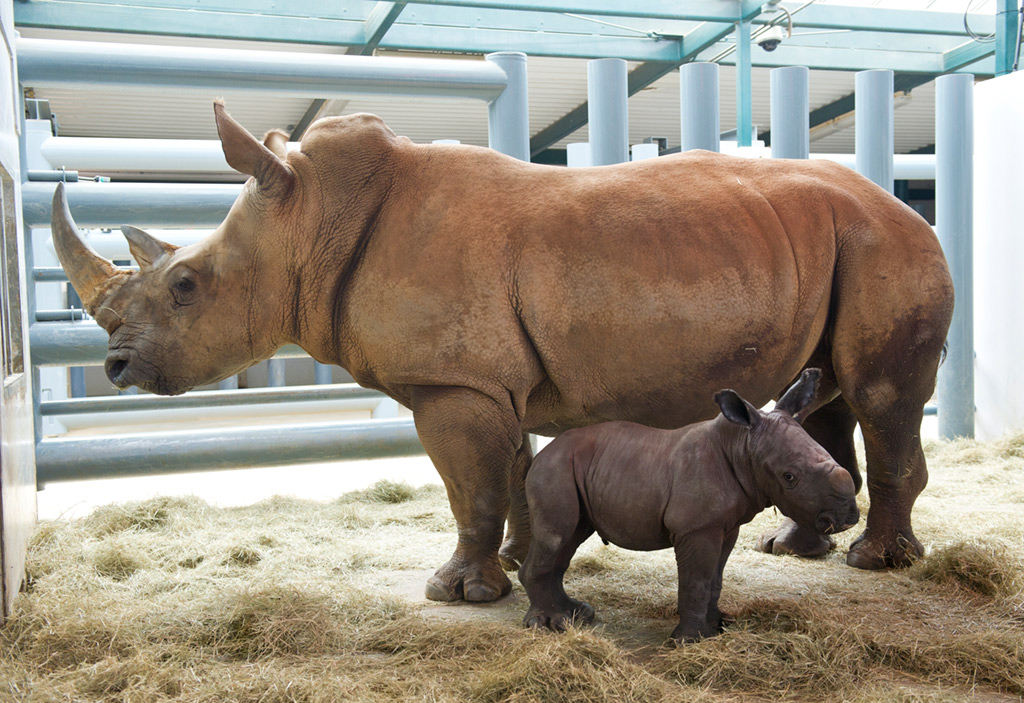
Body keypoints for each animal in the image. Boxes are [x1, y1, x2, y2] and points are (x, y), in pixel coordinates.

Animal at [50, 101, 953, 604]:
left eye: (187, 286)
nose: (116, 369)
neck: (307, 223)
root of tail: (912, 209)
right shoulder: (488, 379)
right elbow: (513, 472)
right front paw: (520, 565)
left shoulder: (452, 382)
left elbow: (472, 488)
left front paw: (459, 593)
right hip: (838, 246)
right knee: (827, 394)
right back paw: (799, 548)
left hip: (887, 247)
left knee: (880, 399)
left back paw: (876, 563)